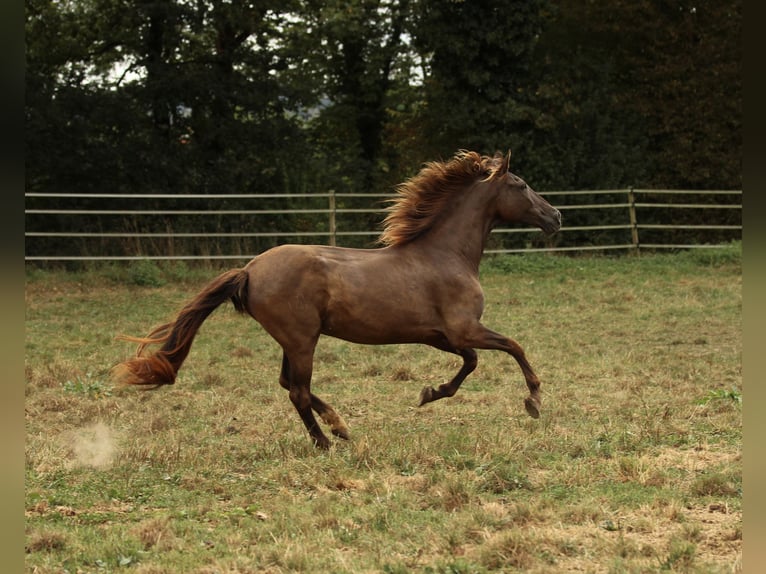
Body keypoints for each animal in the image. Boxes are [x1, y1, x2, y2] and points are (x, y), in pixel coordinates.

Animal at [111, 151, 560, 452]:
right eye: (521, 185)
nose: (555, 217)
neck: (446, 254)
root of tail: (250, 269)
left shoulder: (442, 335)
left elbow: (471, 363)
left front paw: (429, 393)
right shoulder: (464, 328)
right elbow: (512, 347)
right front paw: (534, 401)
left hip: (294, 341)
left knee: (289, 384)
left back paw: (339, 426)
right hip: (301, 339)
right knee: (297, 391)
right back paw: (326, 442)